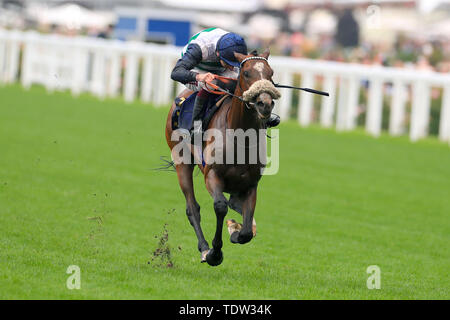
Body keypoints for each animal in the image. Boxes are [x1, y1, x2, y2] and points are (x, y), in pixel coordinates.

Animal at [163, 49, 280, 264]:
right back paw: (203, 248)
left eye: (271, 73)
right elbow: (220, 206)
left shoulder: (250, 185)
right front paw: (214, 253)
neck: (240, 138)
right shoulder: (212, 175)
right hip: (182, 162)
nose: (265, 104)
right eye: (246, 73)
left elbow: (246, 230)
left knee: (233, 204)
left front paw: (235, 230)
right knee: (192, 208)